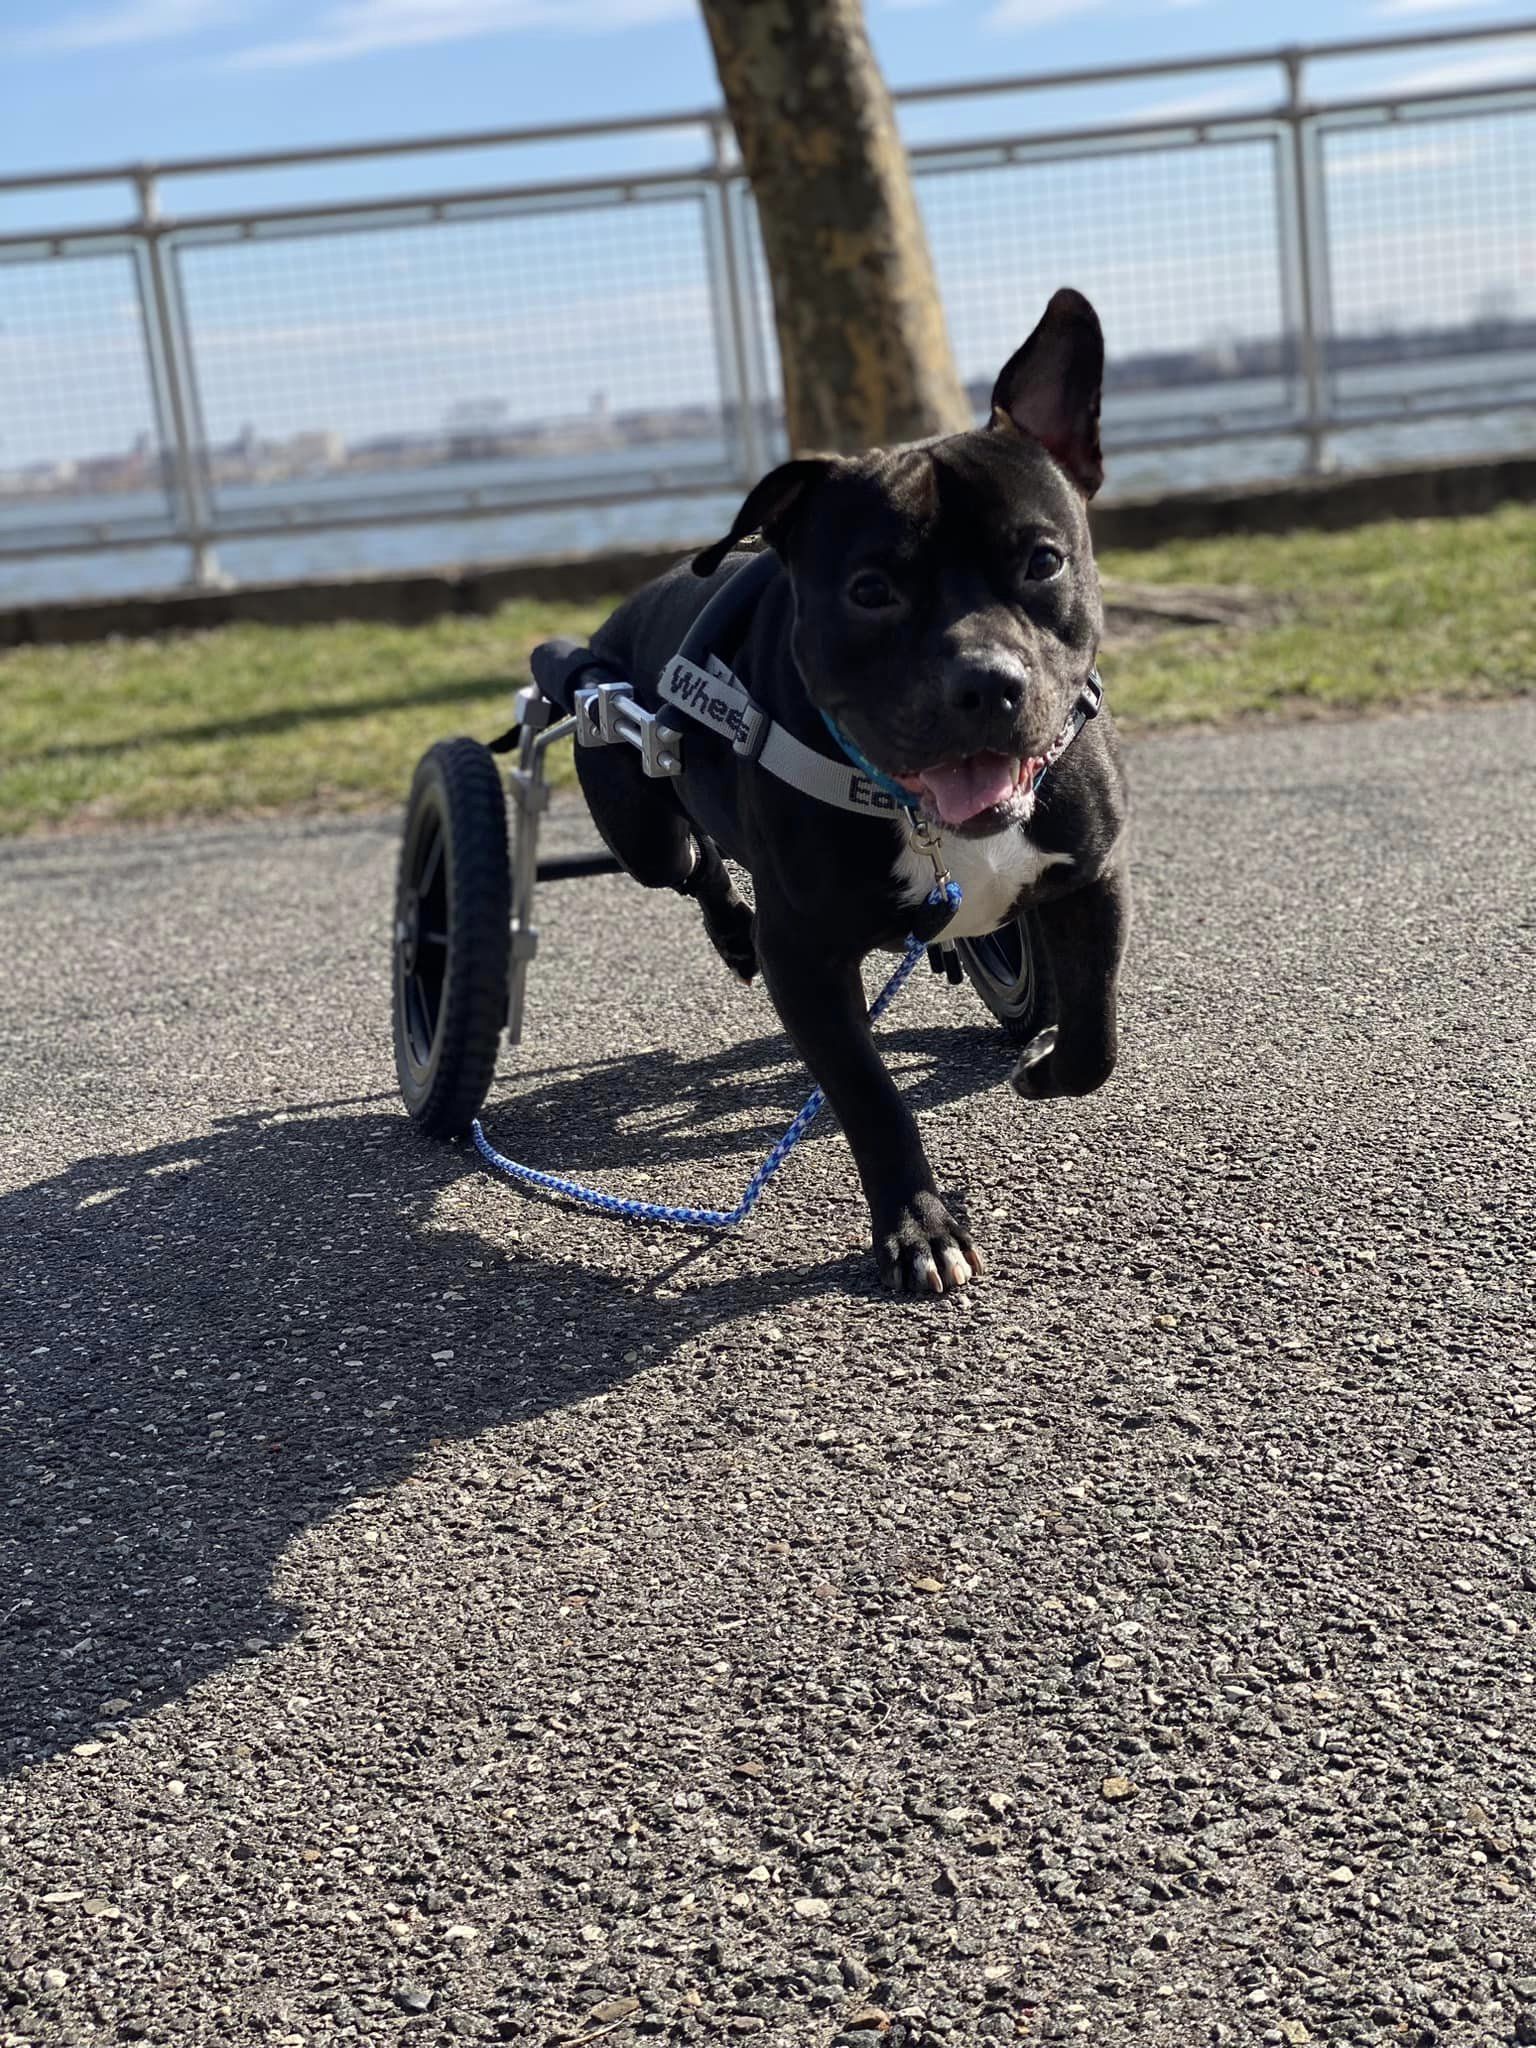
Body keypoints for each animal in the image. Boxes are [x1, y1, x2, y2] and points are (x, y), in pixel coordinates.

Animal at [565, 290, 1130, 1294]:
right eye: (870, 591)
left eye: (1042, 562)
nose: (985, 681)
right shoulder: (807, 962)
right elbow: (869, 1095)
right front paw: (918, 1226)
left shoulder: (1091, 879)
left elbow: (1095, 1032)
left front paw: (1042, 1068)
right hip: (640, 824)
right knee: (693, 862)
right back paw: (730, 930)